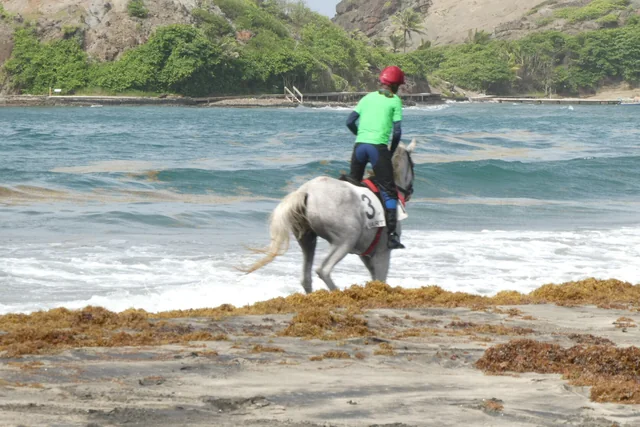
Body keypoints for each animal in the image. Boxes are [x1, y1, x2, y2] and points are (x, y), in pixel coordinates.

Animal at [245, 139, 417, 294]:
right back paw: (338, 293)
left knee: (306, 278)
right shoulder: (382, 253)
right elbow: (380, 280)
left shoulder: (366, 255)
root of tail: (306, 191)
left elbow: (374, 278)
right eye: (413, 165)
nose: (410, 191)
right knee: (324, 270)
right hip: (345, 240)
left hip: (308, 240)